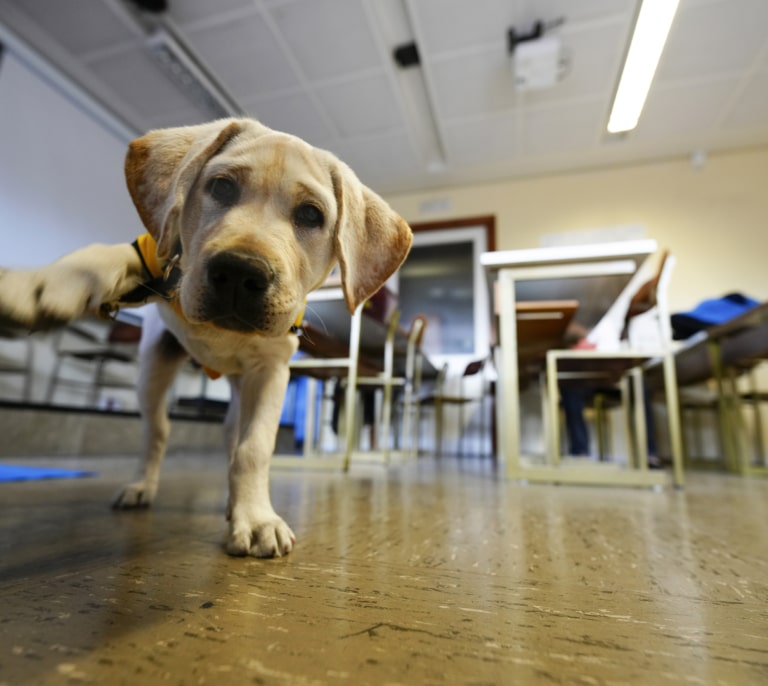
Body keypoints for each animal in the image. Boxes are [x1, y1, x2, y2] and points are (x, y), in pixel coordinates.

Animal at [0, 118, 414, 560]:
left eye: (310, 214)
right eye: (222, 187)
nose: (239, 272)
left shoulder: (272, 372)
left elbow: (253, 449)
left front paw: (256, 518)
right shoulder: (157, 251)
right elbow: (107, 254)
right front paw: (41, 286)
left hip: (240, 392)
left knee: (233, 438)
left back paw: (234, 503)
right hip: (153, 369)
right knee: (157, 432)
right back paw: (141, 486)